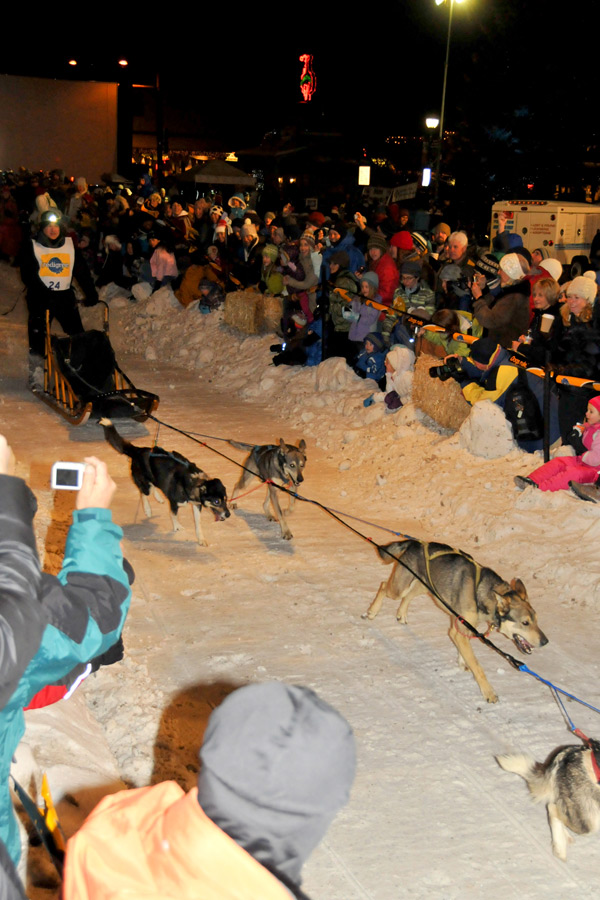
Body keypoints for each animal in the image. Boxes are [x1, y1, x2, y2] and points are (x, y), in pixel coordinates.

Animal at [360, 540, 548, 704]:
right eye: (525, 623)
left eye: (537, 620)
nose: (545, 641)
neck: (481, 593)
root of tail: (415, 542)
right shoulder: (458, 630)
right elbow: (477, 666)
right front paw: (488, 692)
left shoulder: (463, 626)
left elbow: (464, 650)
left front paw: (462, 661)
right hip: (398, 588)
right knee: (384, 585)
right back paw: (372, 611)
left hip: (426, 587)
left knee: (408, 595)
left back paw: (401, 613)